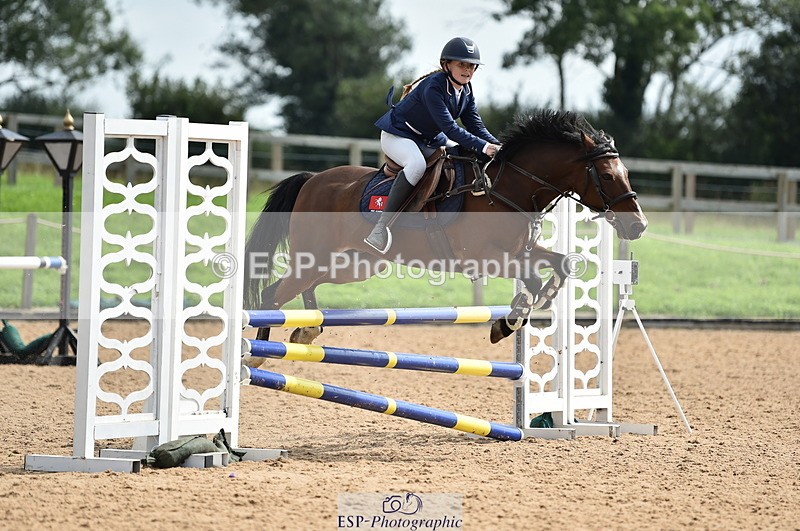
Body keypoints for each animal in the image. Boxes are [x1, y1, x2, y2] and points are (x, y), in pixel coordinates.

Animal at [244, 109, 647, 345]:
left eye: (626, 173)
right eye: (607, 176)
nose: (639, 226)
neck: (505, 189)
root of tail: (312, 179)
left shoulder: (522, 251)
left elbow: (561, 263)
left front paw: (530, 307)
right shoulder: (485, 259)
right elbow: (531, 281)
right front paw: (510, 320)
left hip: (351, 265)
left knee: (300, 288)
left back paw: (307, 328)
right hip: (318, 256)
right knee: (273, 295)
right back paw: (258, 353)